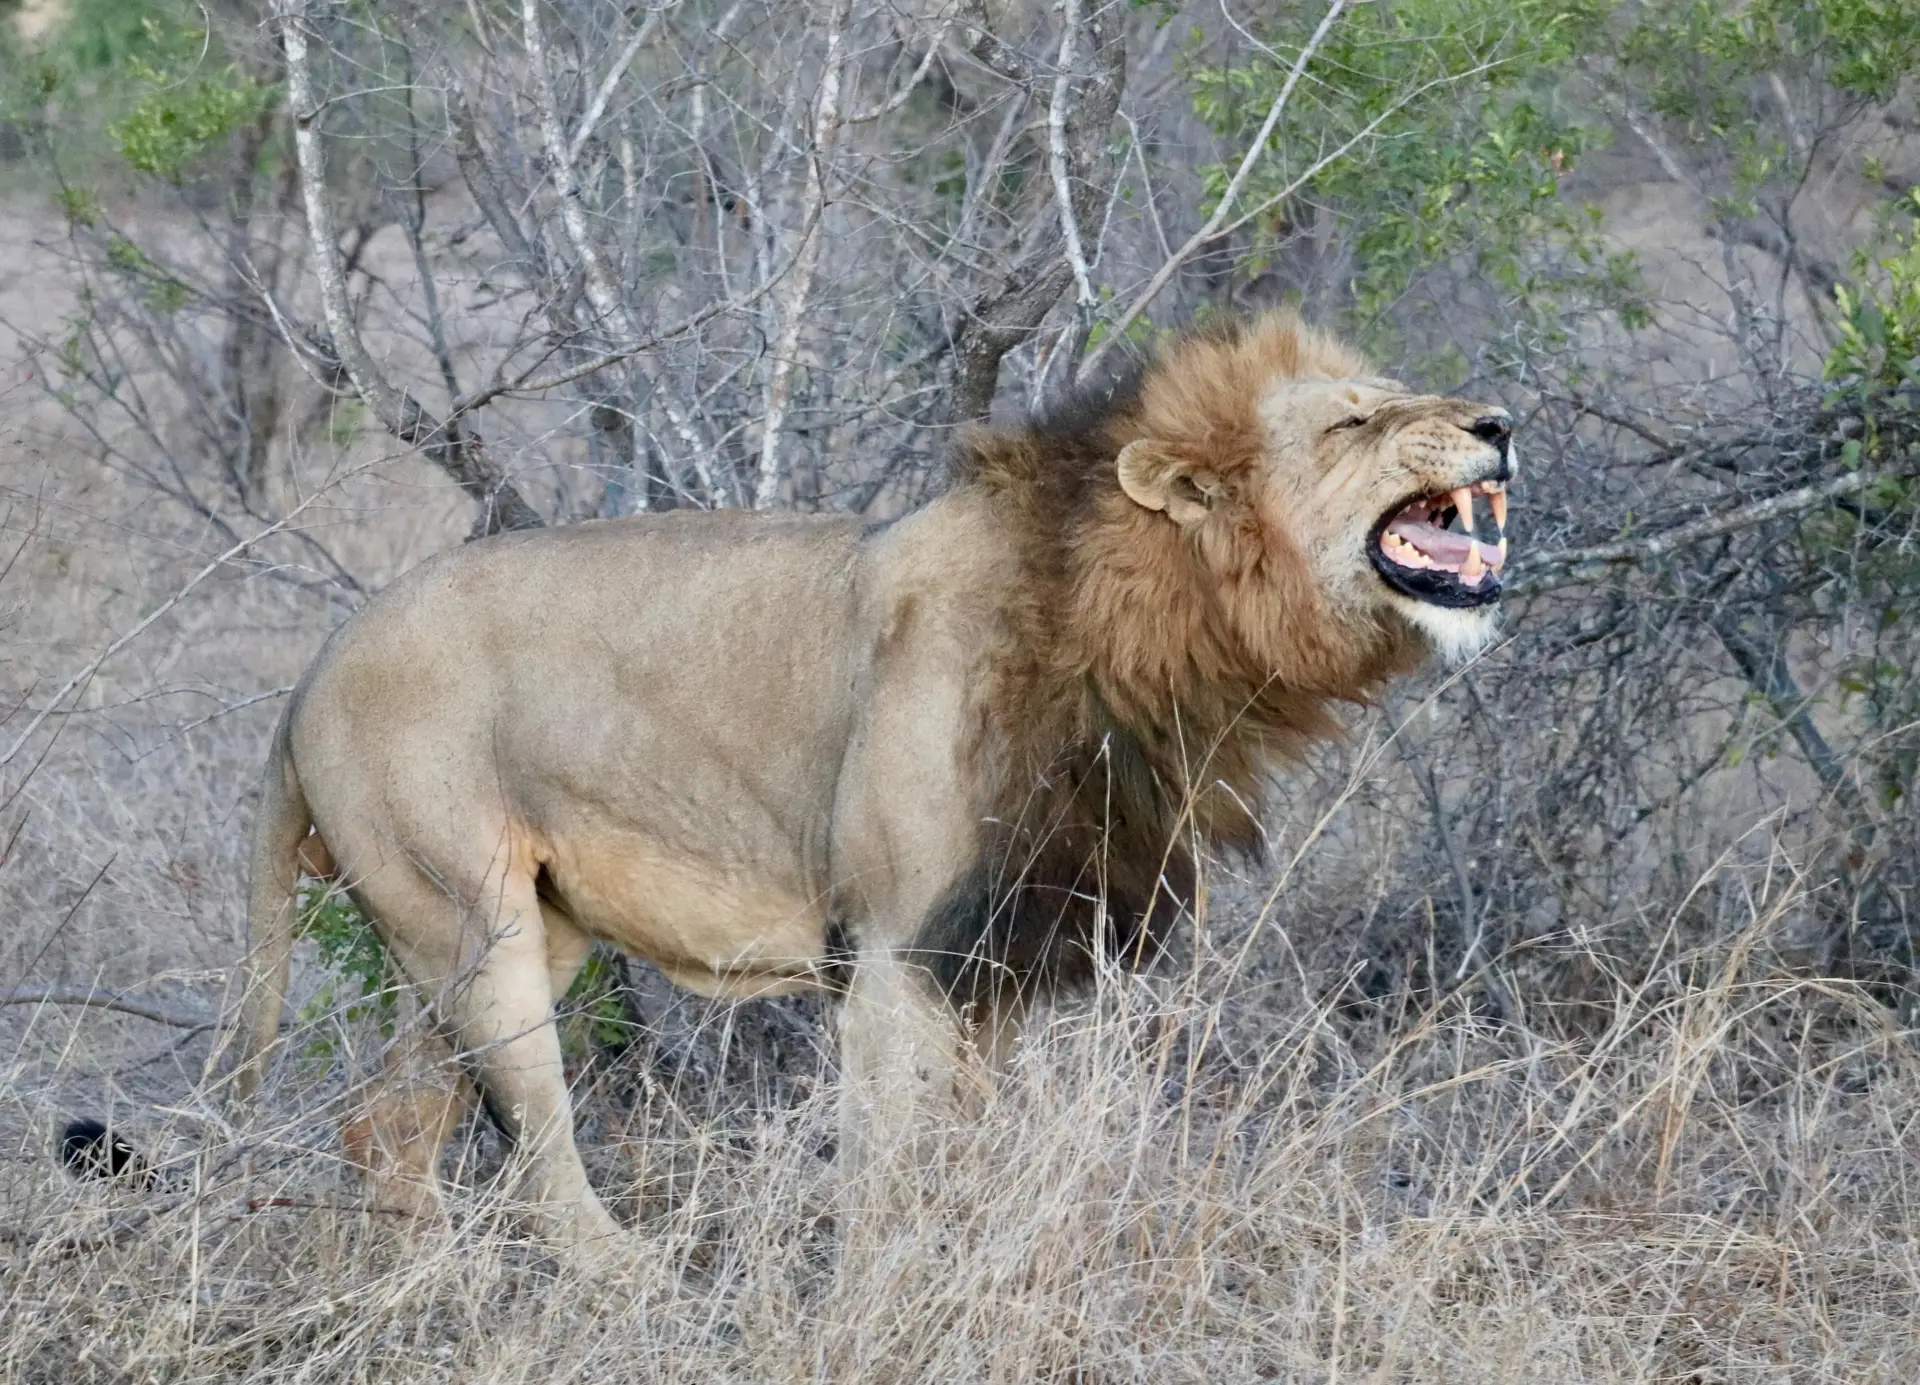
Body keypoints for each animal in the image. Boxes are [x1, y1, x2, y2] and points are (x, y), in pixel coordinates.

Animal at [214, 313, 1512, 1244]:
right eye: (1354, 422)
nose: (1500, 420)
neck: (1134, 627)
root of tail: (310, 676)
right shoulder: (892, 954)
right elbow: (887, 1181)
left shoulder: (996, 954)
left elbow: (968, 1160)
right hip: (476, 934)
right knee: (538, 1166)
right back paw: (645, 1294)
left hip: (487, 939)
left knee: (383, 1131)